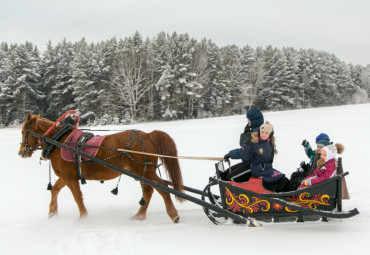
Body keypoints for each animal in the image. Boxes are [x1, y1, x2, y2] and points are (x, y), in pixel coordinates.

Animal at [18, 113, 184, 223]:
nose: (21, 152)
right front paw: (52, 212)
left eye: (23, 131)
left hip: (145, 170)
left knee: (162, 188)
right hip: (141, 171)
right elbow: (55, 190)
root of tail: (148, 134)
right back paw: (139, 216)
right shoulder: (66, 176)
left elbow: (77, 197)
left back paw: (173, 214)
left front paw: (83, 218)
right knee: (149, 191)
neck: (59, 141)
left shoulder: (69, 177)